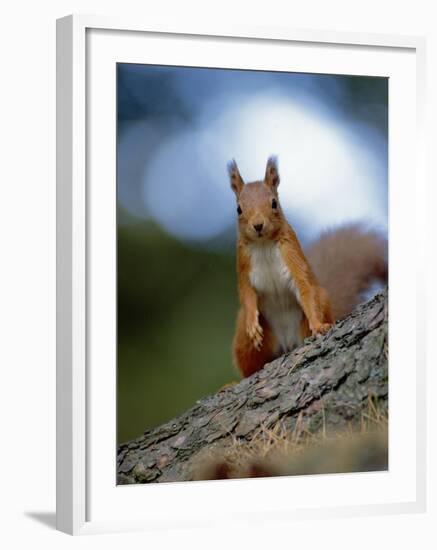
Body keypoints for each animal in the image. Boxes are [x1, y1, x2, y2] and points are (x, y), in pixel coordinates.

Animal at [228, 156, 384, 380]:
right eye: (238, 209)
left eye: (274, 203)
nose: (258, 225)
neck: (263, 244)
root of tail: (287, 343)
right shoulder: (243, 263)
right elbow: (246, 294)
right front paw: (252, 324)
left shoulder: (291, 253)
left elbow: (304, 286)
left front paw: (319, 326)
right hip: (246, 341)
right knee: (251, 368)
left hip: (317, 308)